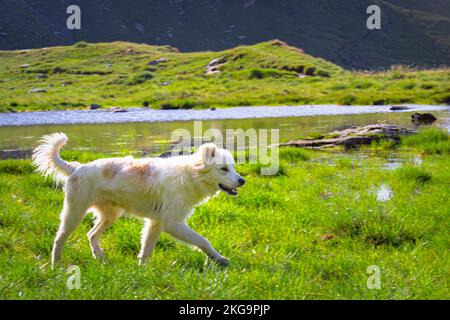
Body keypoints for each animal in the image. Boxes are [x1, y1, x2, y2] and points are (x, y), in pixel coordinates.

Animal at [32, 132, 246, 268]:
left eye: (233, 167)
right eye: (223, 169)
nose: (242, 181)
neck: (189, 175)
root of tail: (76, 167)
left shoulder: (155, 224)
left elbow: (146, 251)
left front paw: (143, 272)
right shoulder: (172, 223)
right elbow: (203, 241)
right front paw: (220, 260)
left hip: (110, 215)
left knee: (91, 234)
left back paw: (100, 259)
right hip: (73, 214)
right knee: (59, 239)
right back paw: (56, 266)